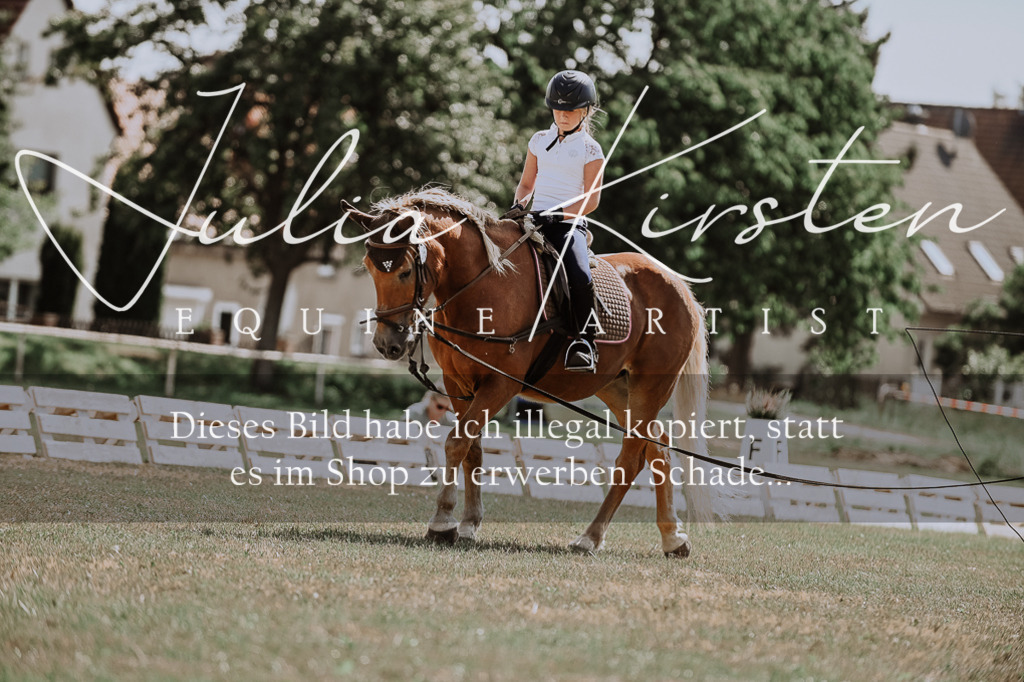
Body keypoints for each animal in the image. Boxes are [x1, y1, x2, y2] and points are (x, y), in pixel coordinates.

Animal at [343, 187, 717, 557]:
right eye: (370, 268)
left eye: (405, 271)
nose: (387, 343)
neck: (483, 286)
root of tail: (680, 287)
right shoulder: (458, 384)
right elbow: (471, 449)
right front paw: (467, 524)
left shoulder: (500, 384)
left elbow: (456, 442)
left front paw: (442, 523)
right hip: (617, 388)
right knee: (658, 450)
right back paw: (672, 539)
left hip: (650, 387)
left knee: (630, 458)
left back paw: (590, 537)